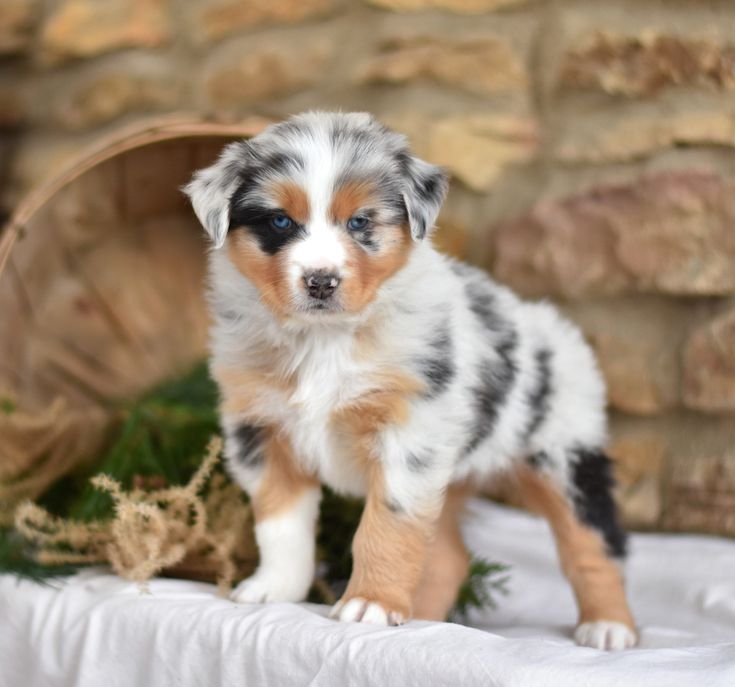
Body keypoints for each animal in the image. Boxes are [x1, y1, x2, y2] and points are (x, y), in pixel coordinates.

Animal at [184, 111, 640, 652]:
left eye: (360, 222)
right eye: (280, 222)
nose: (321, 281)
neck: (324, 338)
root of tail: (556, 326)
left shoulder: (410, 434)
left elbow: (388, 524)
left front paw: (370, 606)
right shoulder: (262, 431)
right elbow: (280, 524)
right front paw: (274, 589)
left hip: (564, 454)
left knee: (596, 542)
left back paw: (610, 626)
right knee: (449, 556)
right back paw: (425, 618)